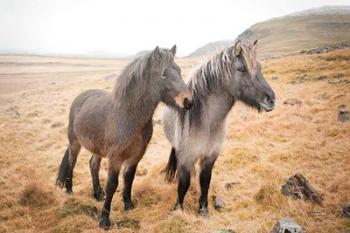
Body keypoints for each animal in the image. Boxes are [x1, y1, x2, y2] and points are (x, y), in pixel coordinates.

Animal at [57, 46, 194, 229]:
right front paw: (104, 220)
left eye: (178, 70)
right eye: (163, 74)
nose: (188, 101)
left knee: (93, 165)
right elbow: (112, 184)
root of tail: (80, 97)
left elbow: (128, 179)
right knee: (72, 162)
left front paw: (128, 206)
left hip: (98, 148)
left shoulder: (136, 156)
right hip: (75, 143)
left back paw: (97, 194)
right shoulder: (115, 158)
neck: (129, 116)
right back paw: (70, 190)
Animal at [163, 40, 274, 217]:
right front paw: (177, 209)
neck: (206, 123)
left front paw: (203, 210)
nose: (271, 99)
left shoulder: (211, 156)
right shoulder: (186, 157)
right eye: (242, 69)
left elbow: (205, 181)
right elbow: (183, 185)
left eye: (260, 67)